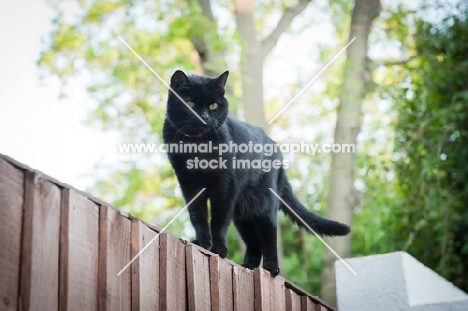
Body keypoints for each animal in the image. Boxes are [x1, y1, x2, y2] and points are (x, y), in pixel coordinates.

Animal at [163, 70, 350, 276]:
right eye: (190, 104)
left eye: (213, 105)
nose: (204, 117)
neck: (197, 145)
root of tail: (277, 150)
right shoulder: (189, 184)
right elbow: (198, 215)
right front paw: (203, 243)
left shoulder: (225, 186)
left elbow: (219, 220)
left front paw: (219, 249)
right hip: (242, 213)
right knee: (253, 242)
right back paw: (248, 265)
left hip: (266, 206)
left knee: (270, 235)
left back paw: (271, 267)